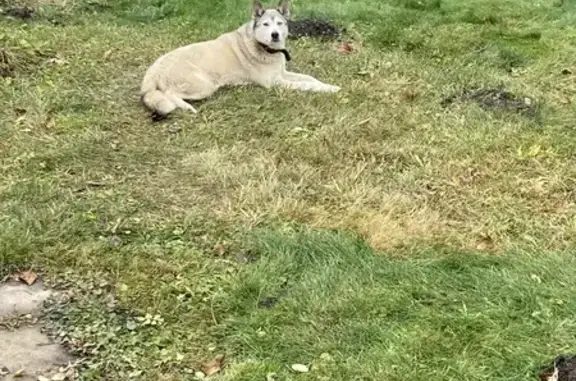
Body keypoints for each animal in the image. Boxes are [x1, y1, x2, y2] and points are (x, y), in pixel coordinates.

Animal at [141, 0, 340, 118]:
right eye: (266, 24)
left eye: (279, 23)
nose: (275, 34)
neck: (265, 48)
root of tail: (154, 68)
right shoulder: (274, 82)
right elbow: (307, 84)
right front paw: (327, 89)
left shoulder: (282, 73)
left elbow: (310, 78)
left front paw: (328, 85)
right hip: (204, 86)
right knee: (169, 94)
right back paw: (186, 107)